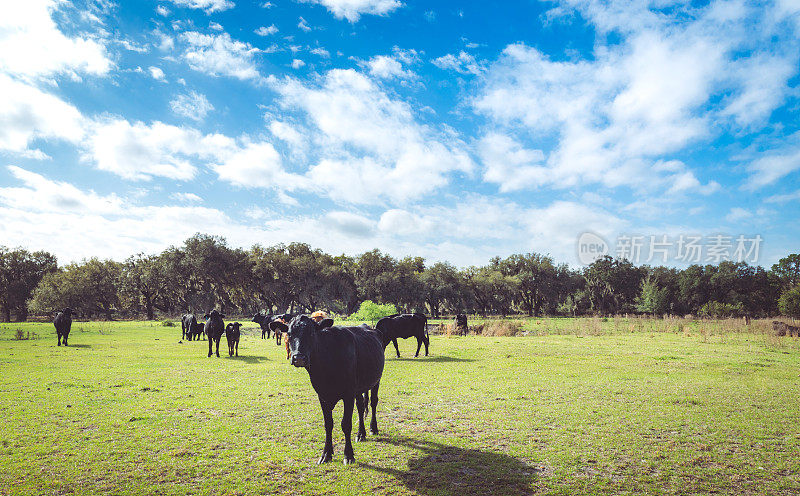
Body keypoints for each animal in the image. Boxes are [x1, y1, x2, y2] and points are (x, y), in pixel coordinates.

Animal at [270, 316, 386, 464]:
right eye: (289, 334)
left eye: (312, 333)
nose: (299, 358)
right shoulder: (323, 396)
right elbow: (328, 424)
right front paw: (326, 454)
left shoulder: (348, 394)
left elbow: (346, 424)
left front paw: (348, 455)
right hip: (359, 388)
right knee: (361, 407)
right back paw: (361, 434)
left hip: (377, 380)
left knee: (373, 402)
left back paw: (373, 428)